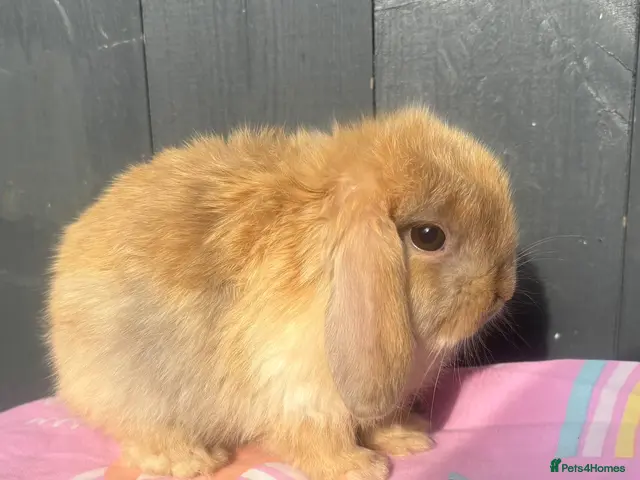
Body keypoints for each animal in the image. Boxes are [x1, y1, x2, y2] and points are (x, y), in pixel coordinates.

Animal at [45, 106, 518, 480]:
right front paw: (359, 468)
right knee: (145, 434)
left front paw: (410, 437)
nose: (503, 291)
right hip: (138, 395)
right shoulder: (300, 388)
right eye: (428, 236)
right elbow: (319, 437)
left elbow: (377, 421)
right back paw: (195, 460)